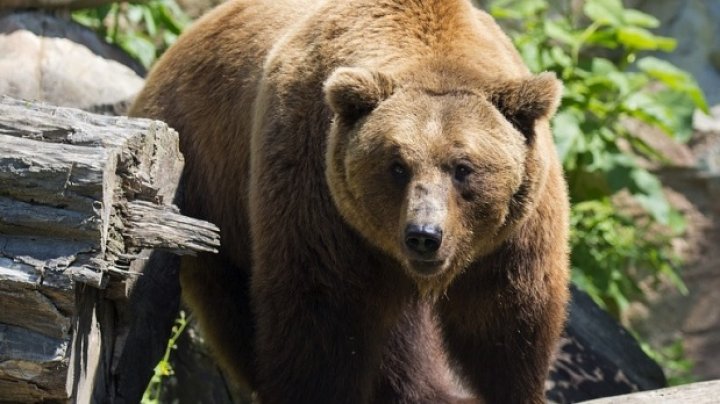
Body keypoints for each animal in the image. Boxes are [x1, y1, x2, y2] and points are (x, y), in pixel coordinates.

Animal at [128, 0, 568, 402]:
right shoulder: (317, 193)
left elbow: (506, 326)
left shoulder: (511, 239)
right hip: (210, 193)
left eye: (463, 167)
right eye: (397, 165)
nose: (424, 235)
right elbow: (321, 322)